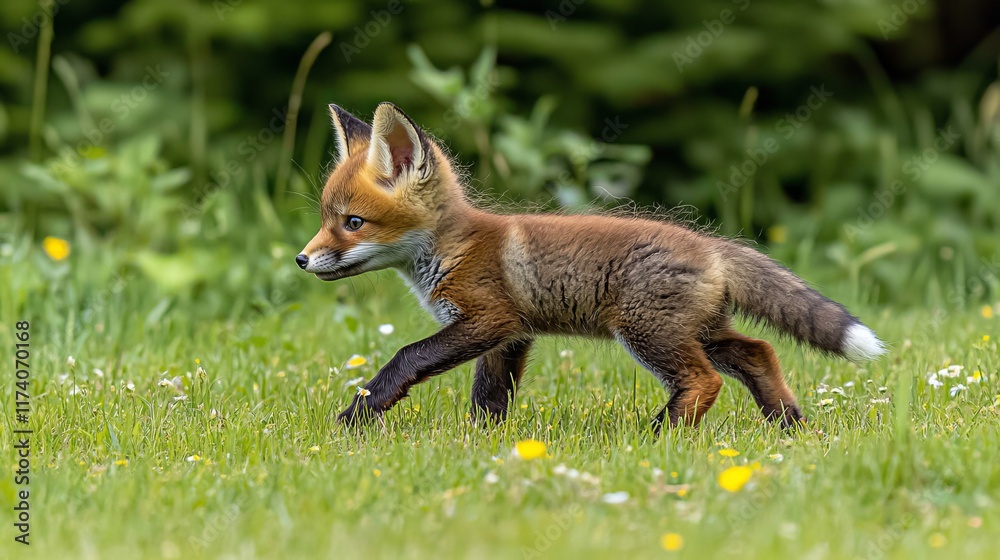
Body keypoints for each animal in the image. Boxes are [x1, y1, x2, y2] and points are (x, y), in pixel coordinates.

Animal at [296, 102, 886, 431]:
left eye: (352, 223)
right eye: (327, 219)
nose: (303, 259)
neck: (450, 250)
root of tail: (712, 245)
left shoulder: (489, 319)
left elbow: (408, 356)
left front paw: (358, 416)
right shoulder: (511, 337)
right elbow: (490, 399)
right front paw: (483, 446)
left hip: (649, 334)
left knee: (706, 381)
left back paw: (657, 437)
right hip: (700, 330)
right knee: (758, 352)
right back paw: (790, 427)